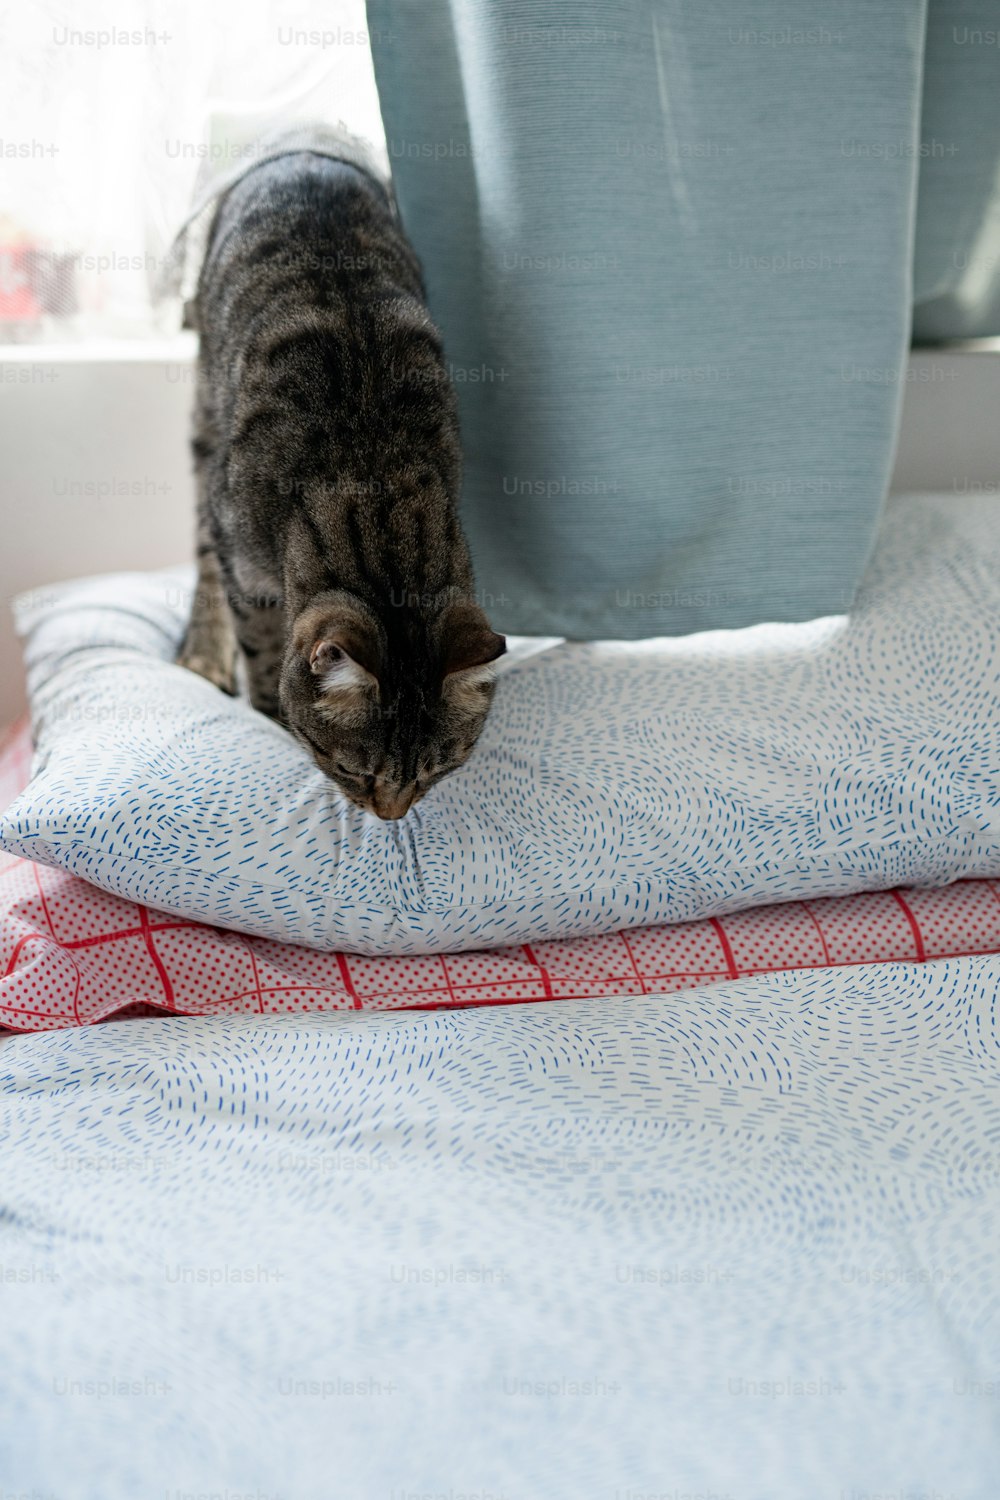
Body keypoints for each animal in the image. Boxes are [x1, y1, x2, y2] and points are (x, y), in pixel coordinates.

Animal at [176, 149, 503, 822]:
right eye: (351, 769)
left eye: (436, 770)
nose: (392, 816)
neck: (375, 488)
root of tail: (303, 151)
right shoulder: (243, 561)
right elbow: (262, 650)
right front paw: (271, 716)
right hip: (204, 427)